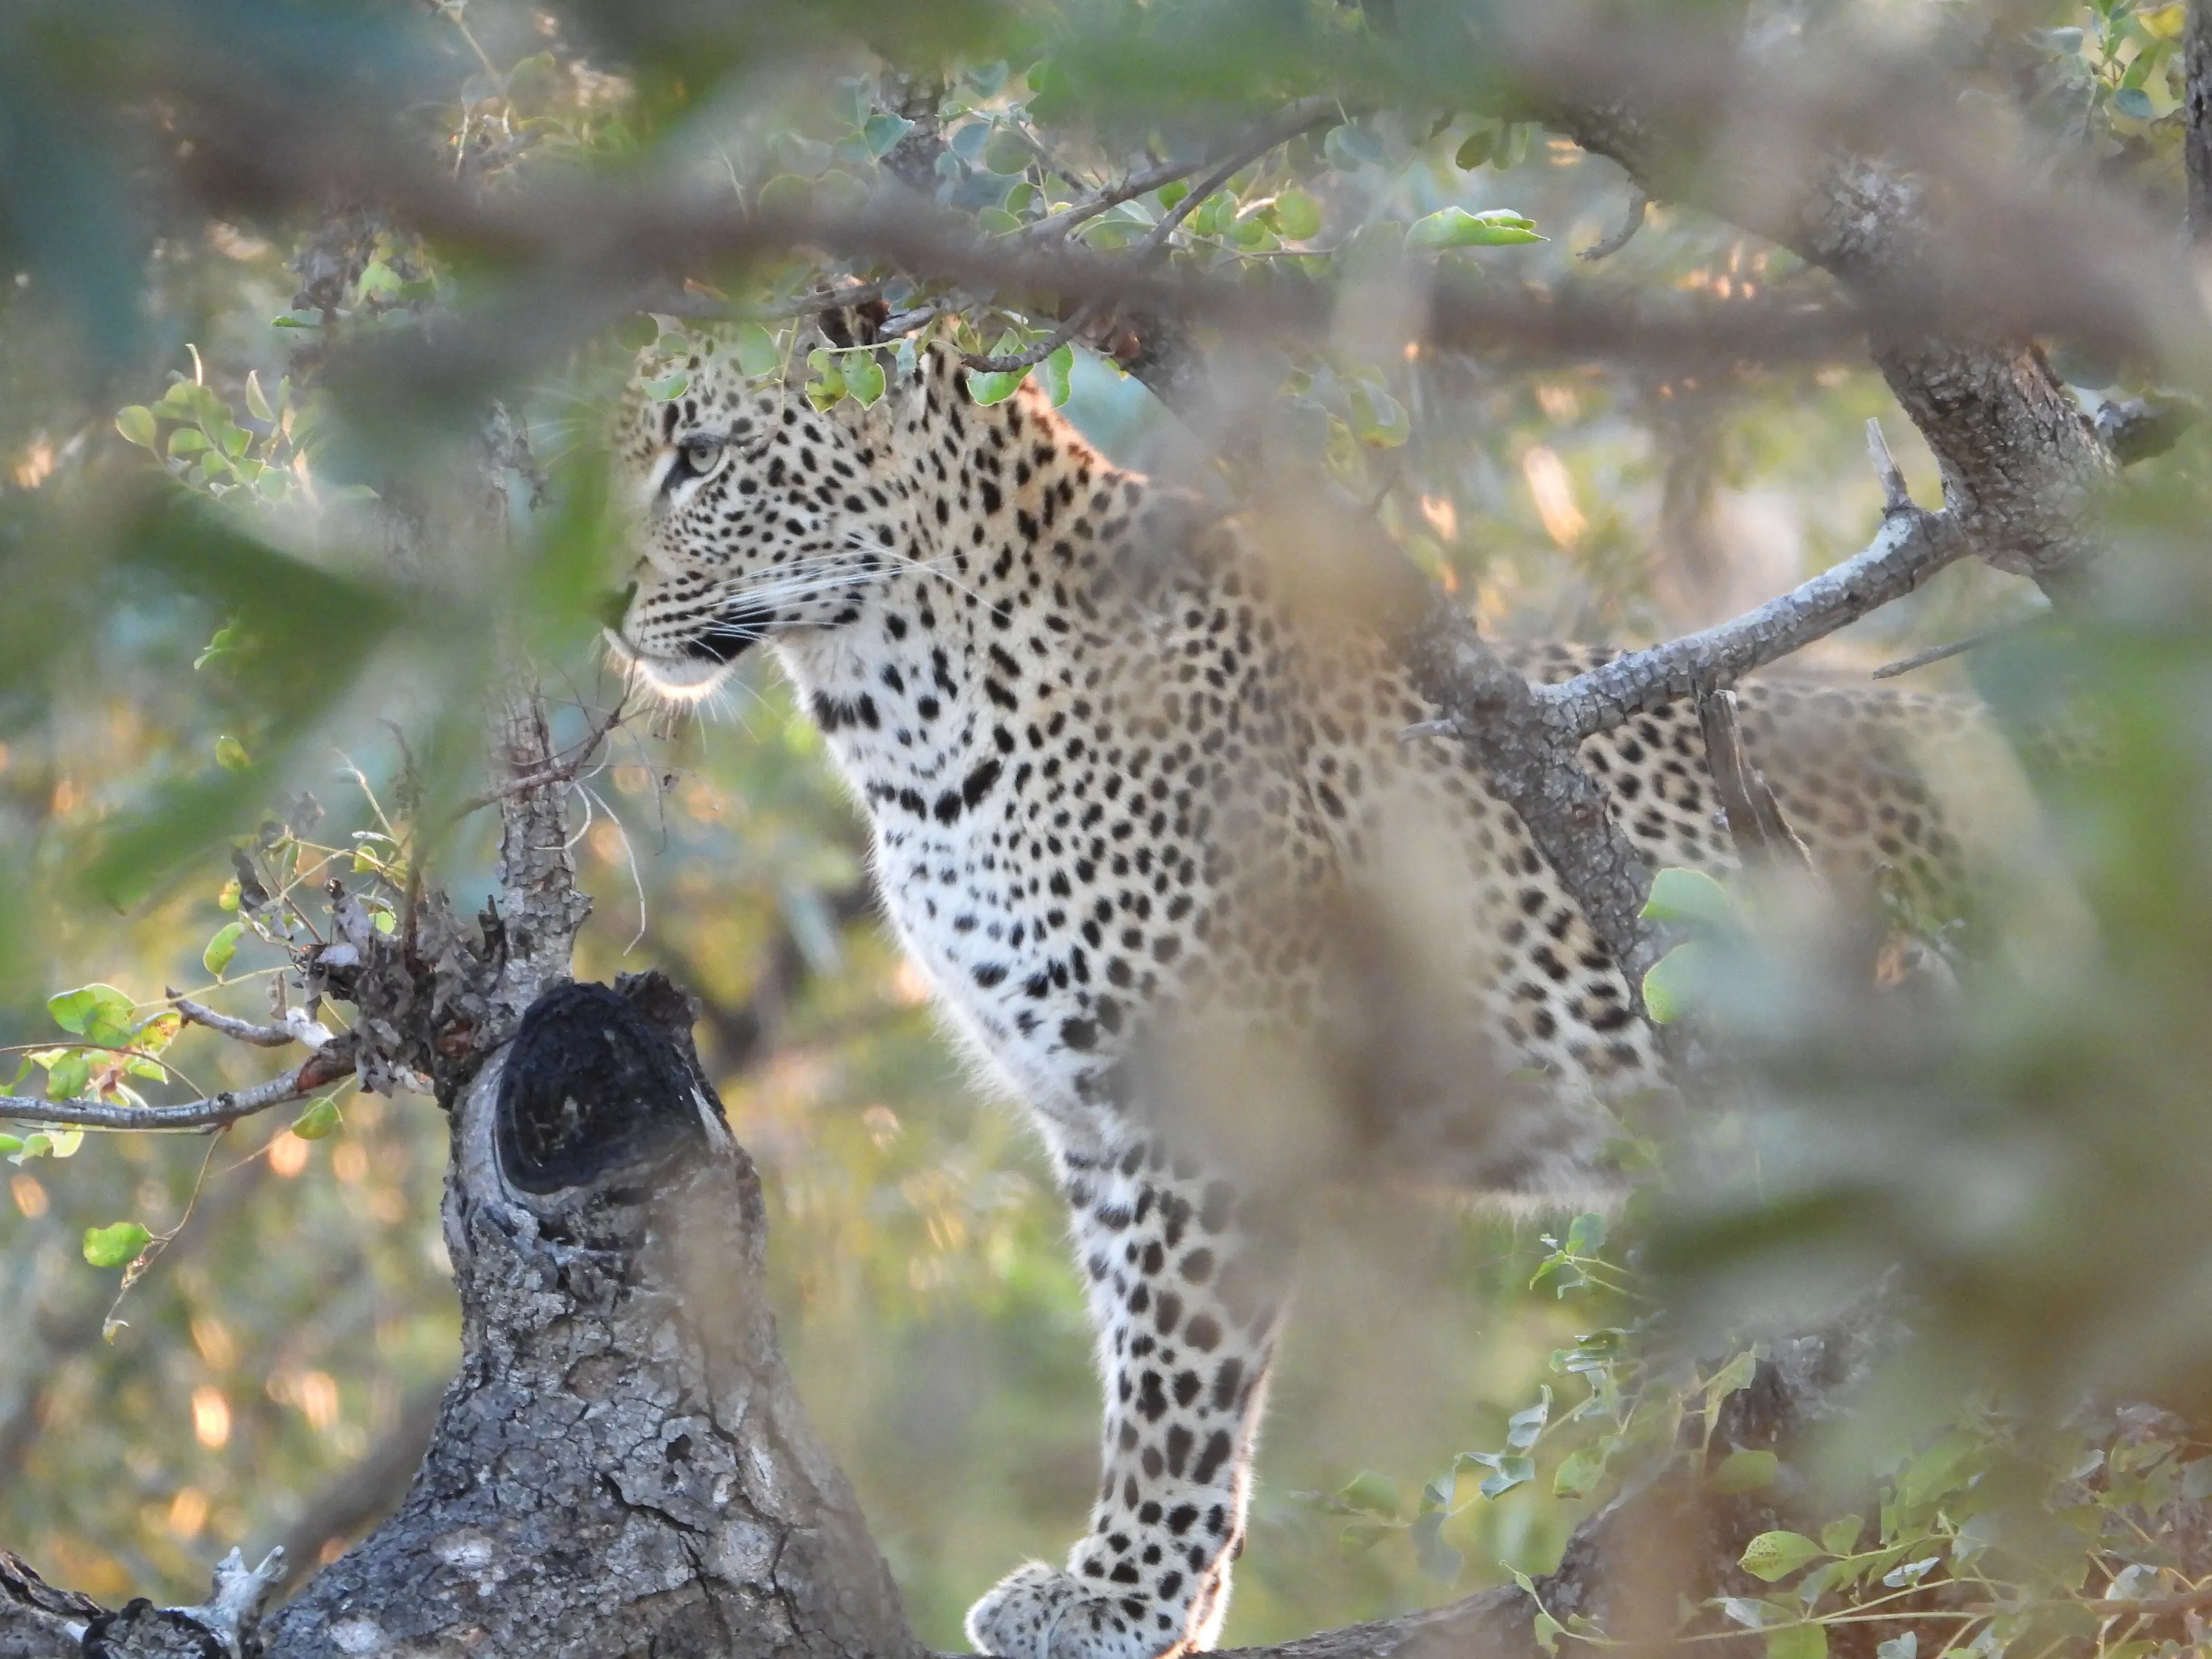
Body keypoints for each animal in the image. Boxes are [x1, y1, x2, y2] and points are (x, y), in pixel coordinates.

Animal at [607, 321, 1983, 1659]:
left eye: (704, 458)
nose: (603, 601)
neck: (898, 714)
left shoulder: (1208, 1097)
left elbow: (1176, 1382)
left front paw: (1126, 1597)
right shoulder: (1094, 1120)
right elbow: (1134, 1352)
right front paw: (1169, 1601)